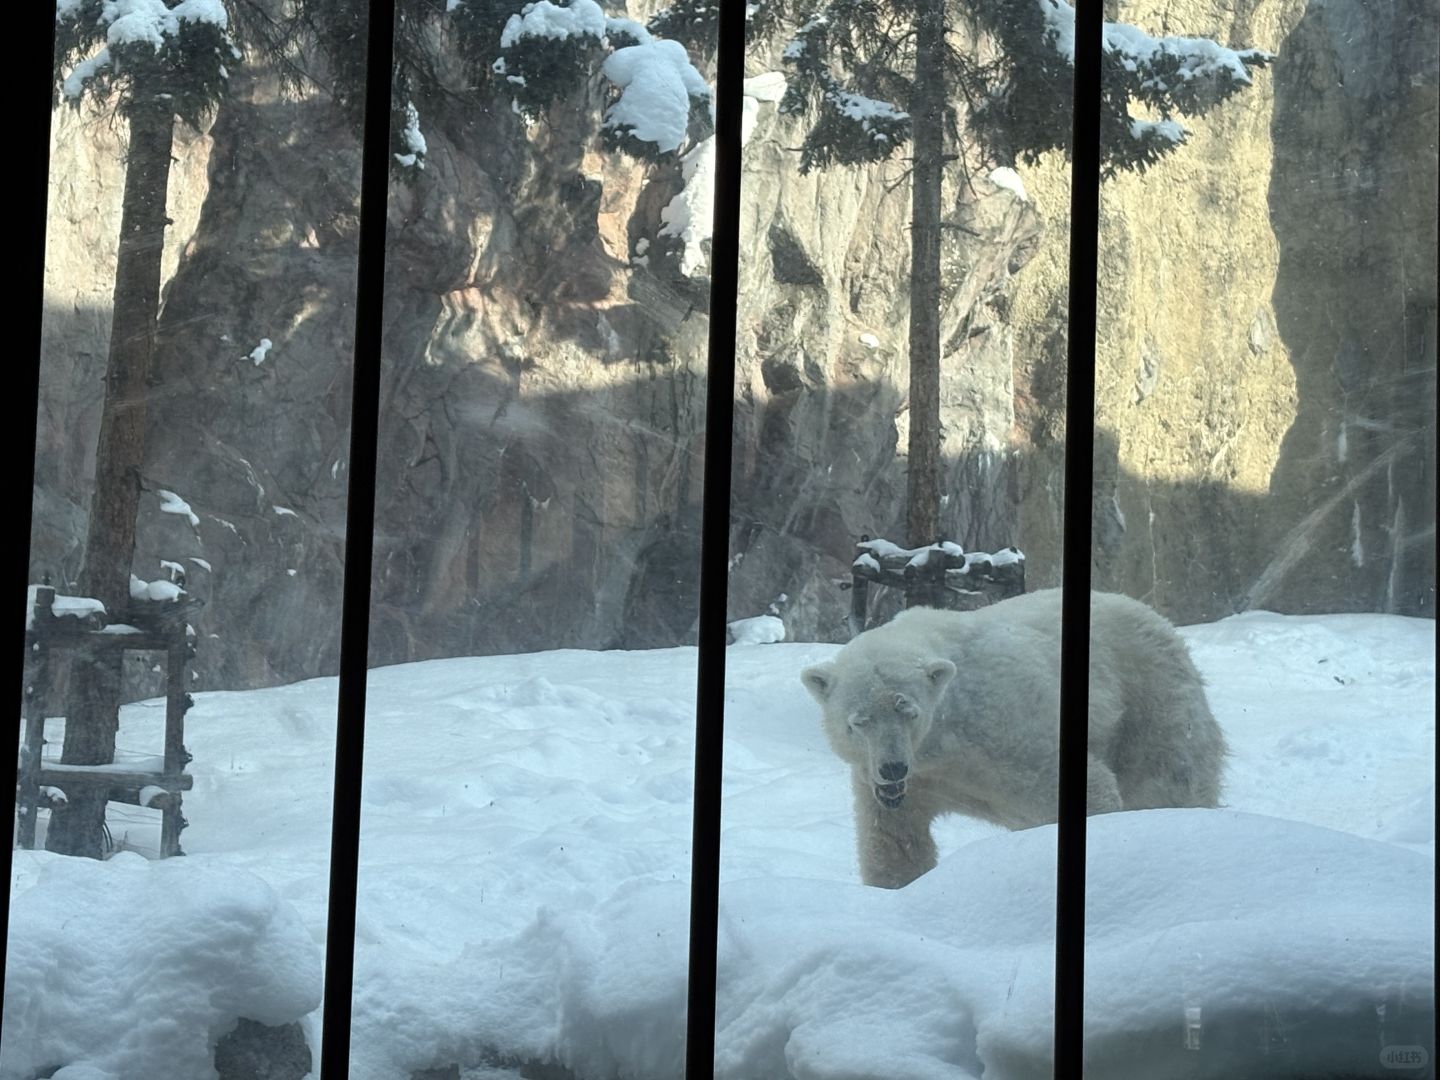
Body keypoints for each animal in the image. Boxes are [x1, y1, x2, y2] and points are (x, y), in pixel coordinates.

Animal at [800, 593, 1226, 887]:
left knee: (1170, 777)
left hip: (1151, 696)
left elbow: (1086, 787)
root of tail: (1159, 619)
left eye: (910, 712)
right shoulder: (908, 781)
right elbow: (895, 840)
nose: (892, 768)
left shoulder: (1010, 731)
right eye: (858, 722)